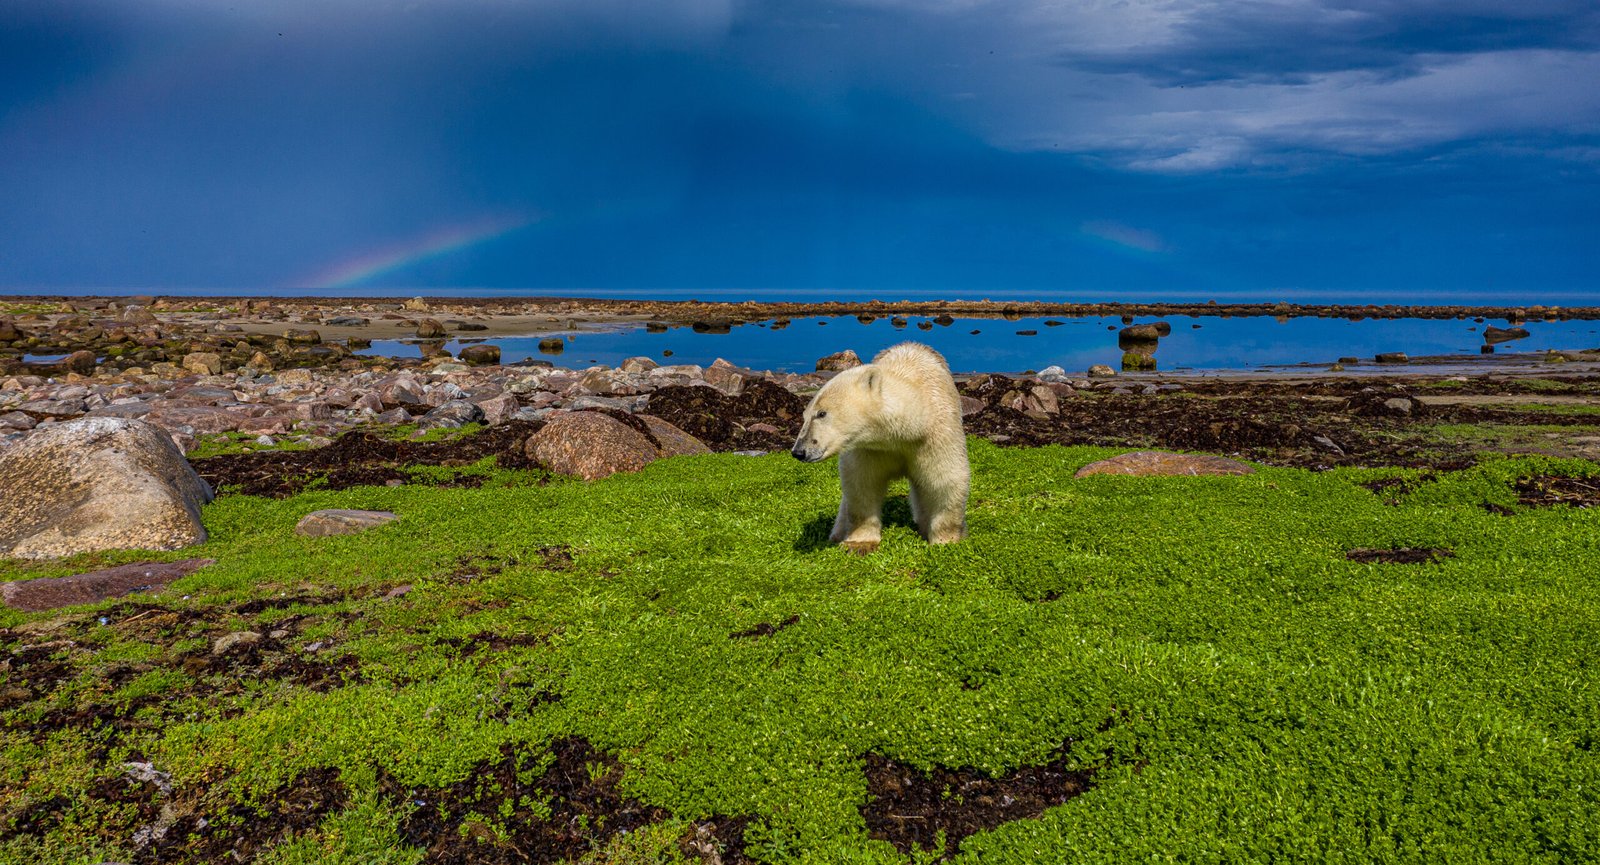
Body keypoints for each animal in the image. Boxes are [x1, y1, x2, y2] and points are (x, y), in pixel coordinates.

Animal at [790, 338, 966, 546]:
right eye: (804, 415)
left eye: (821, 413)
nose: (799, 451)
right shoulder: (868, 448)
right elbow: (861, 484)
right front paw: (859, 543)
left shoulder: (934, 437)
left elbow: (946, 480)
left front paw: (946, 541)